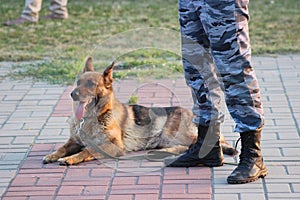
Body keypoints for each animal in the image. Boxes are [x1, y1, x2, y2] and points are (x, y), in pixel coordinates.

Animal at [42, 57, 237, 165]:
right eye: (78, 83)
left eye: (91, 84)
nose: (73, 94)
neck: (92, 118)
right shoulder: (73, 141)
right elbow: (62, 147)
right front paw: (53, 155)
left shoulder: (113, 146)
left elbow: (87, 151)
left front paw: (70, 158)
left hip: (171, 132)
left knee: (198, 144)